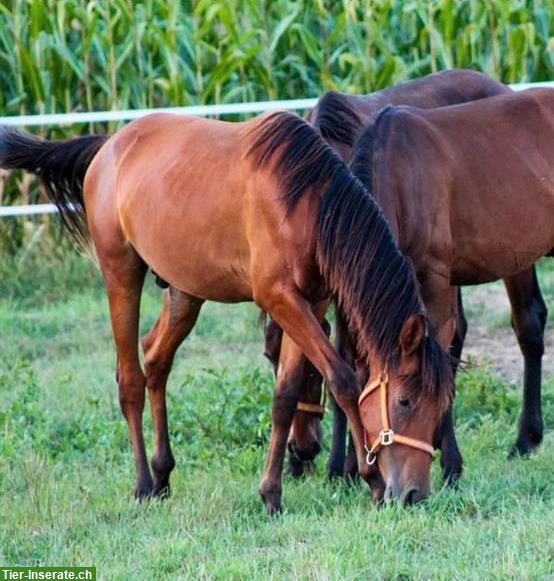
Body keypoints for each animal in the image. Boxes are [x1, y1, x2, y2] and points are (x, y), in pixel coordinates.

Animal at [0, 111, 452, 510]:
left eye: (440, 408)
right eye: (405, 402)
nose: (414, 494)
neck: (305, 204)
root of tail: (109, 146)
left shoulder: (309, 301)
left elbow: (285, 396)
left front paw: (271, 493)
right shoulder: (279, 298)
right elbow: (343, 380)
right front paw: (371, 479)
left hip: (184, 292)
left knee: (156, 360)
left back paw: (163, 474)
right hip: (120, 273)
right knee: (130, 379)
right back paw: (143, 484)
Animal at [344, 87, 552, 490]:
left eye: (406, 401)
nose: (407, 491)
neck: (400, 173)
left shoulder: (435, 278)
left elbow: (442, 352)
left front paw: (451, 464)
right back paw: (526, 439)